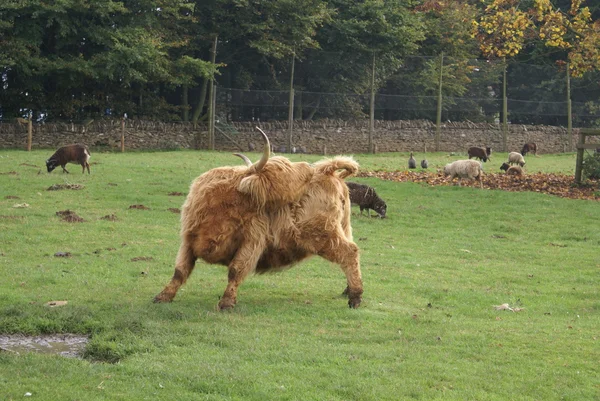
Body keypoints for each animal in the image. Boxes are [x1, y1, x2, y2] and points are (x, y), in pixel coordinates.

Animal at [152, 126, 364, 308]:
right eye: (285, 173)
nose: (309, 171)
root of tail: (331, 172)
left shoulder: (252, 240)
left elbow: (235, 270)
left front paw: (226, 302)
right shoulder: (188, 239)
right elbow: (180, 270)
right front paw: (163, 296)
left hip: (322, 235)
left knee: (349, 252)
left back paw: (355, 297)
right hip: (342, 228)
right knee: (350, 254)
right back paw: (348, 290)